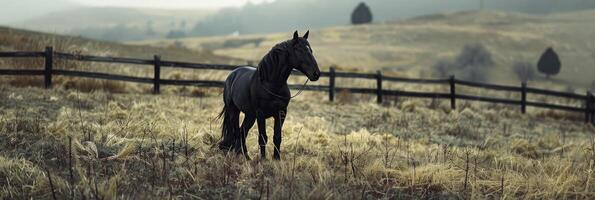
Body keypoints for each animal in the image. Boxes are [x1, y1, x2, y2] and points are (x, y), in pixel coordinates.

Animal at [219, 30, 322, 159]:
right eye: (299, 50)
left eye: (311, 50)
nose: (316, 74)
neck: (272, 84)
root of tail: (232, 75)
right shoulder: (260, 114)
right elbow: (263, 137)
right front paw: (263, 159)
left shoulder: (281, 113)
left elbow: (277, 137)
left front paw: (277, 159)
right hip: (234, 111)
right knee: (237, 131)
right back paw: (242, 155)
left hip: (250, 115)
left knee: (243, 131)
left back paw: (245, 156)